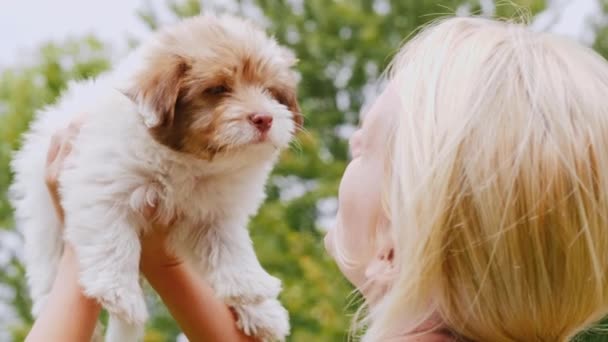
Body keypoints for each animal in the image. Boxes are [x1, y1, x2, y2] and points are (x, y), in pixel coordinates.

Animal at [10, 14, 300, 342]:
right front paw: (121, 295)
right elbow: (115, 240)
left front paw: (251, 288)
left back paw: (265, 315)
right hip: (46, 227)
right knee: (48, 275)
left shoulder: (216, 212)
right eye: (217, 90)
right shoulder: (102, 186)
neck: (193, 162)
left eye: (270, 92)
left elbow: (229, 247)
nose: (265, 118)